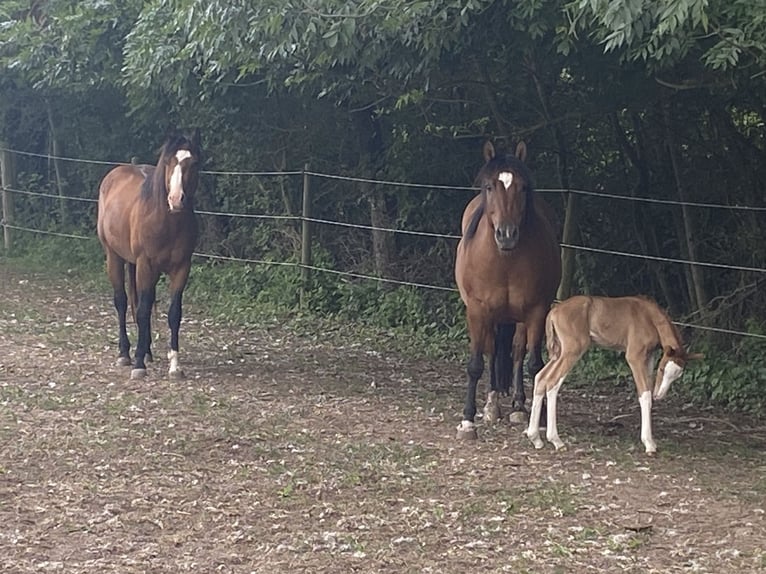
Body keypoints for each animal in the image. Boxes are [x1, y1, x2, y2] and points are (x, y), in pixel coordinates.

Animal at [97, 129, 202, 380]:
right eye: (169, 162)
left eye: (193, 163)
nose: (176, 200)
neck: (167, 222)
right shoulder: (146, 264)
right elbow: (143, 310)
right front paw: (138, 365)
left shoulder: (182, 268)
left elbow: (174, 313)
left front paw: (175, 366)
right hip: (114, 257)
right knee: (123, 301)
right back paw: (126, 353)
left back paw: (146, 351)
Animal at [454, 141, 562, 440]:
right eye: (490, 186)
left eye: (523, 187)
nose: (507, 234)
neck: (505, 262)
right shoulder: (477, 310)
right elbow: (476, 363)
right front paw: (468, 420)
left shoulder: (536, 311)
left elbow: (534, 364)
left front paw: (535, 417)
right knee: (492, 351)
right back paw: (492, 405)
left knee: (516, 351)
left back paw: (518, 405)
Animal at [525, 295, 703, 454]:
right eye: (662, 369)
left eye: (677, 376)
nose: (659, 395)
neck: (649, 316)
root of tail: (554, 311)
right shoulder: (634, 356)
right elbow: (644, 394)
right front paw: (649, 444)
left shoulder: (649, 356)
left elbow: (647, 392)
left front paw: (651, 440)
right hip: (572, 349)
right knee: (552, 382)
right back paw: (556, 440)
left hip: (559, 352)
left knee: (540, 378)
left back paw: (535, 438)